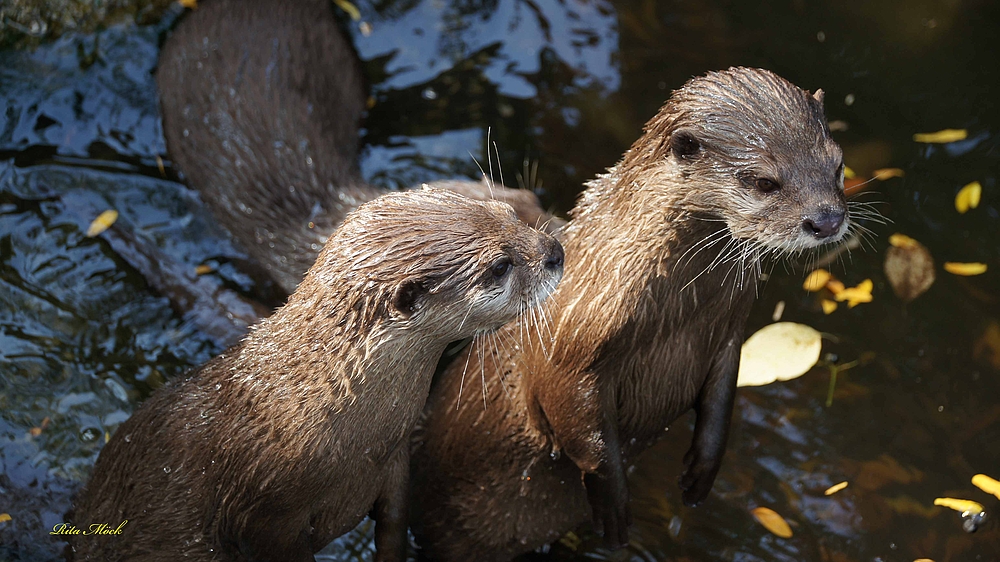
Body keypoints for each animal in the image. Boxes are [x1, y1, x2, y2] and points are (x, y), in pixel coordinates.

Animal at [68, 188, 572, 560]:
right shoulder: (265, 518)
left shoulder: (394, 465)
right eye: (500, 266)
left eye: (509, 212)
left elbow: (394, 524)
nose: (555, 251)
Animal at [408, 68, 852, 556]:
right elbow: (582, 429)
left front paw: (702, 470)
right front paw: (614, 505)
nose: (826, 220)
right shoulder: (569, 346)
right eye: (764, 182)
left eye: (838, 166)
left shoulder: (729, 330)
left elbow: (722, 396)